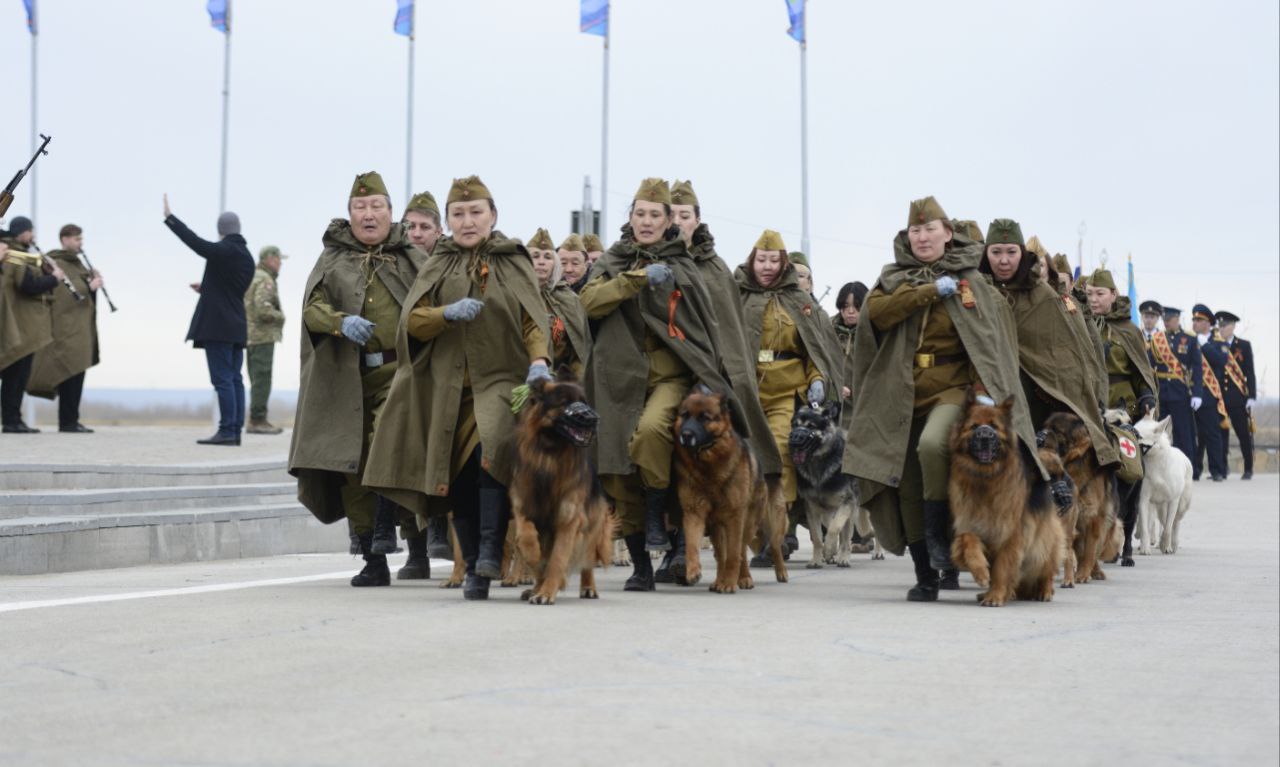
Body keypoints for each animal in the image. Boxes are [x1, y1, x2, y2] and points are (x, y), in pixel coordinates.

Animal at [506, 371, 611, 606]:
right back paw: (534, 587)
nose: (594, 419)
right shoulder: (523, 506)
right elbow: (527, 537)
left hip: (592, 526)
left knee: (586, 558)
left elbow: (557, 560)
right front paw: (533, 558)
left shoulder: (568, 520)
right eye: (565, 403)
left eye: (584, 402)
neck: (550, 455)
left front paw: (546, 593)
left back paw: (588, 587)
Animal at [670, 389, 788, 594]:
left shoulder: (735, 517)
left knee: (760, 548)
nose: (686, 434)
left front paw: (730, 583)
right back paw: (720, 580)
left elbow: (734, 555)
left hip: (754, 523)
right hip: (719, 528)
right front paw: (693, 571)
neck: (707, 466)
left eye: (704, 417)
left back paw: (761, 575)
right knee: (722, 555)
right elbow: (693, 546)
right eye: (684, 415)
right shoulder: (694, 513)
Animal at [783, 404, 855, 565]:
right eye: (794, 425)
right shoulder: (811, 508)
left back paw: (844, 557)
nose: (793, 439)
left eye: (811, 426)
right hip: (828, 511)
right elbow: (817, 536)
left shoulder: (847, 503)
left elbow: (835, 528)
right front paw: (816, 559)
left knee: (847, 536)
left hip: (852, 510)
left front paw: (829, 550)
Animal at [947, 394, 1064, 609]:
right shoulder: (969, 524)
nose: (985, 435)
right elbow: (968, 540)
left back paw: (1043, 590)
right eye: (974, 426)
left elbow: (1002, 569)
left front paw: (995, 596)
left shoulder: (1010, 534)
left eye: (994, 426)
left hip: (1045, 542)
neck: (985, 479)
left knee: (1046, 569)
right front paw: (981, 572)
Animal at [1136, 417, 1192, 555]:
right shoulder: (1143, 499)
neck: (1155, 462)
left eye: (1138, 435)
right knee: (1160, 522)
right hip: (1160, 507)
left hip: (1180, 505)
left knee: (1175, 523)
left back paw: (1173, 544)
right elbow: (1145, 528)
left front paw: (1165, 546)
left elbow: (1167, 528)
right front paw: (1145, 548)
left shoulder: (1173, 501)